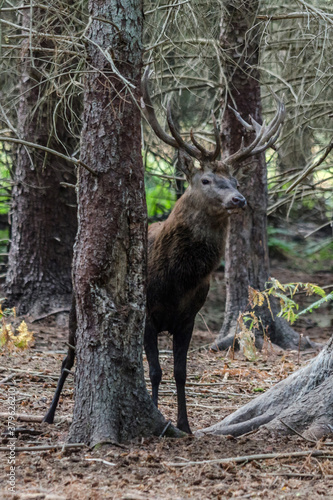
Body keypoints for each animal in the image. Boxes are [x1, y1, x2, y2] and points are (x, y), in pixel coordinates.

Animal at [42, 67, 284, 434]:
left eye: (236, 182)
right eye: (206, 180)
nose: (239, 199)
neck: (177, 281)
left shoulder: (188, 317)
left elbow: (180, 373)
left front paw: (184, 423)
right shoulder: (148, 315)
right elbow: (154, 372)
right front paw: (159, 415)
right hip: (75, 309)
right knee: (68, 359)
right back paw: (49, 413)